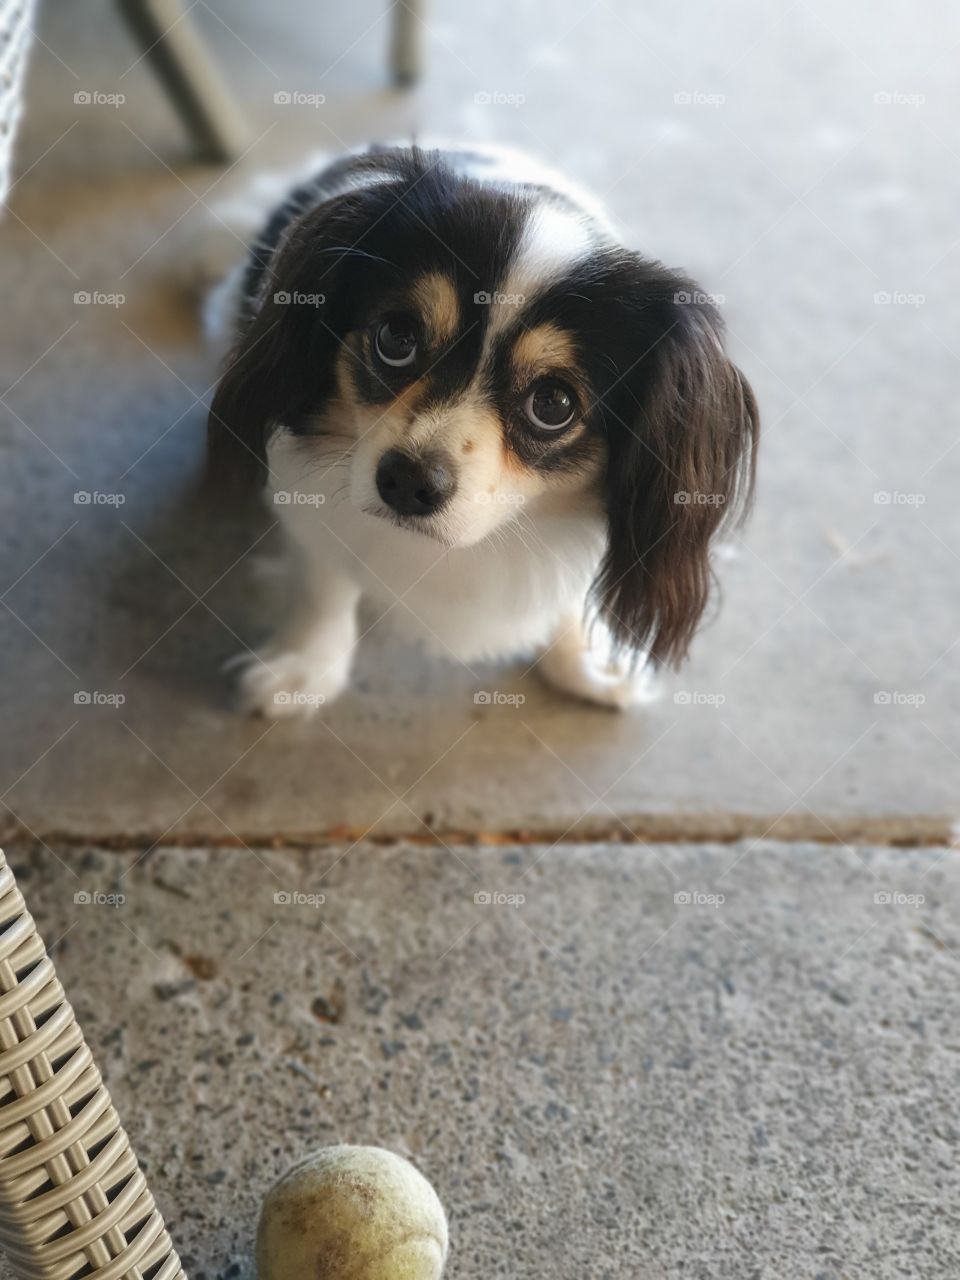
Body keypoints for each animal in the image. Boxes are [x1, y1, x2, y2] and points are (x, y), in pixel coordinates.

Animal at [204, 147, 757, 721]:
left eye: (553, 404)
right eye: (396, 338)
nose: (408, 481)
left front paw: (583, 661)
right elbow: (324, 580)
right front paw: (304, 666)